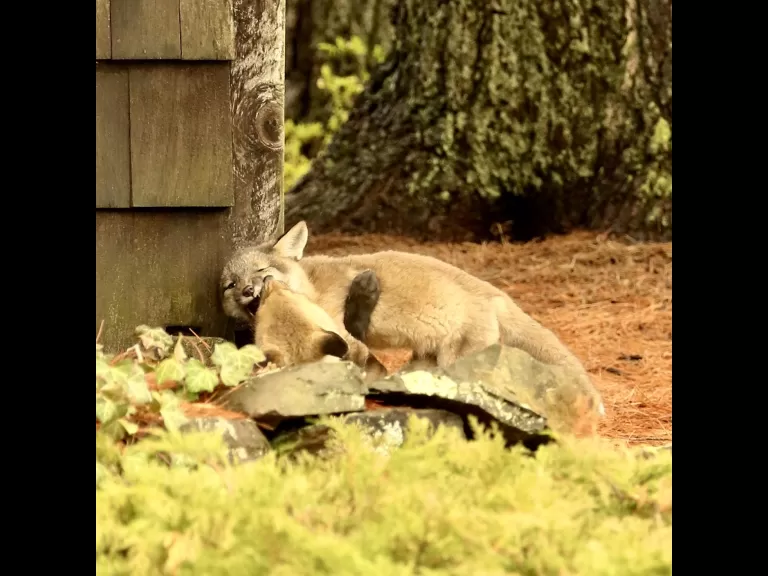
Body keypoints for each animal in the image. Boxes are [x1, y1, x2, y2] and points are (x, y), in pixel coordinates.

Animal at [221, 221, 604, 415]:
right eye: (230, 284)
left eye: (262, 272)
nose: (248, 291)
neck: (312, 286)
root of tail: (494, 294)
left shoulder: (342, 330)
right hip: (425, 363)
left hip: (456, 362)